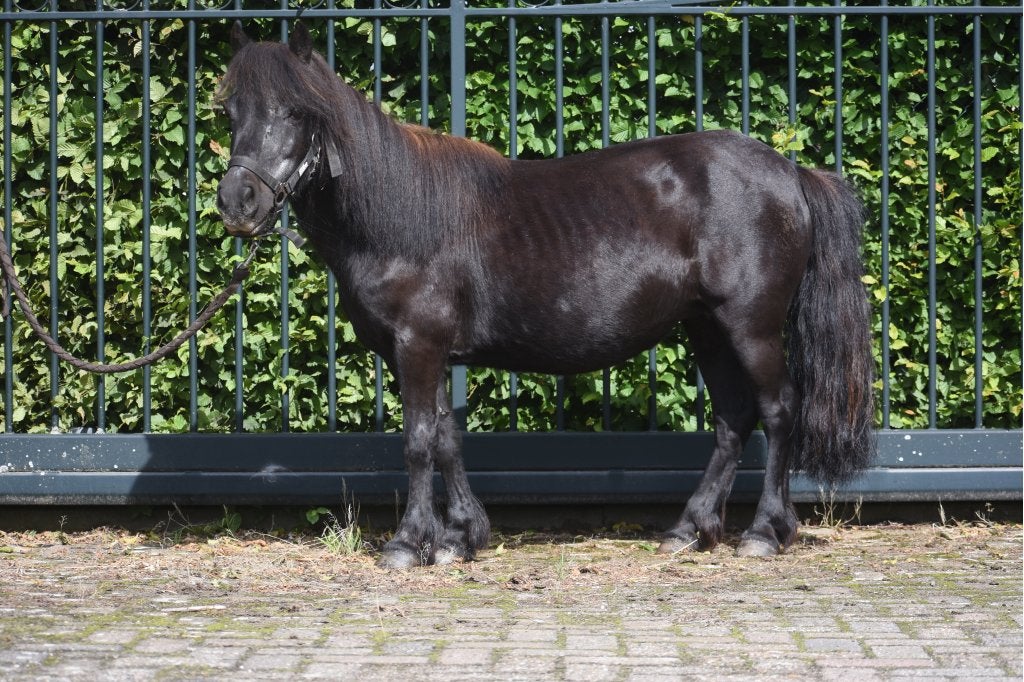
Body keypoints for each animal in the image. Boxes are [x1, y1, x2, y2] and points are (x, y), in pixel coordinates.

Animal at [215, 21, 875, 569]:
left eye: (294, 111)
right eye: (230, 111)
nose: (236, 203)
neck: (400, 215)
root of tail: (791, 173)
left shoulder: (418, 345)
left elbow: (419, 441)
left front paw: (408, 543)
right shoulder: (430, 352)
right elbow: (448, 438)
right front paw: (461, 537)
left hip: (750, 326)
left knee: (778, 410)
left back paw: (764, 532)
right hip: (706, 328)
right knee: (733, 418)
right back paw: (689, 530)